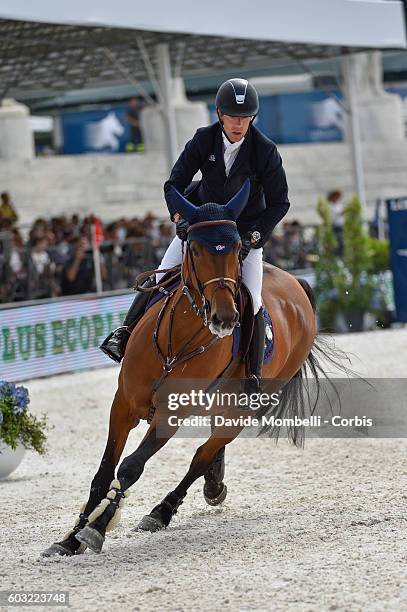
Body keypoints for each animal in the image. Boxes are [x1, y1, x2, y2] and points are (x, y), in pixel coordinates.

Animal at [41, 179, 342, 556]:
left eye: (238, 248)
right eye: (196, 250)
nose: (224, 318)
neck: (176, 343)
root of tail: (296, 283)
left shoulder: (169, 416)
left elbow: (130, 468)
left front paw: (95, 529)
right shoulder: (123, 404)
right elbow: (104, 473)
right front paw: (69, 539)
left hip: (242, 408)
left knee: (200, 456)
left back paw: (163, 510)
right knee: (209, 452)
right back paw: (213, 483)